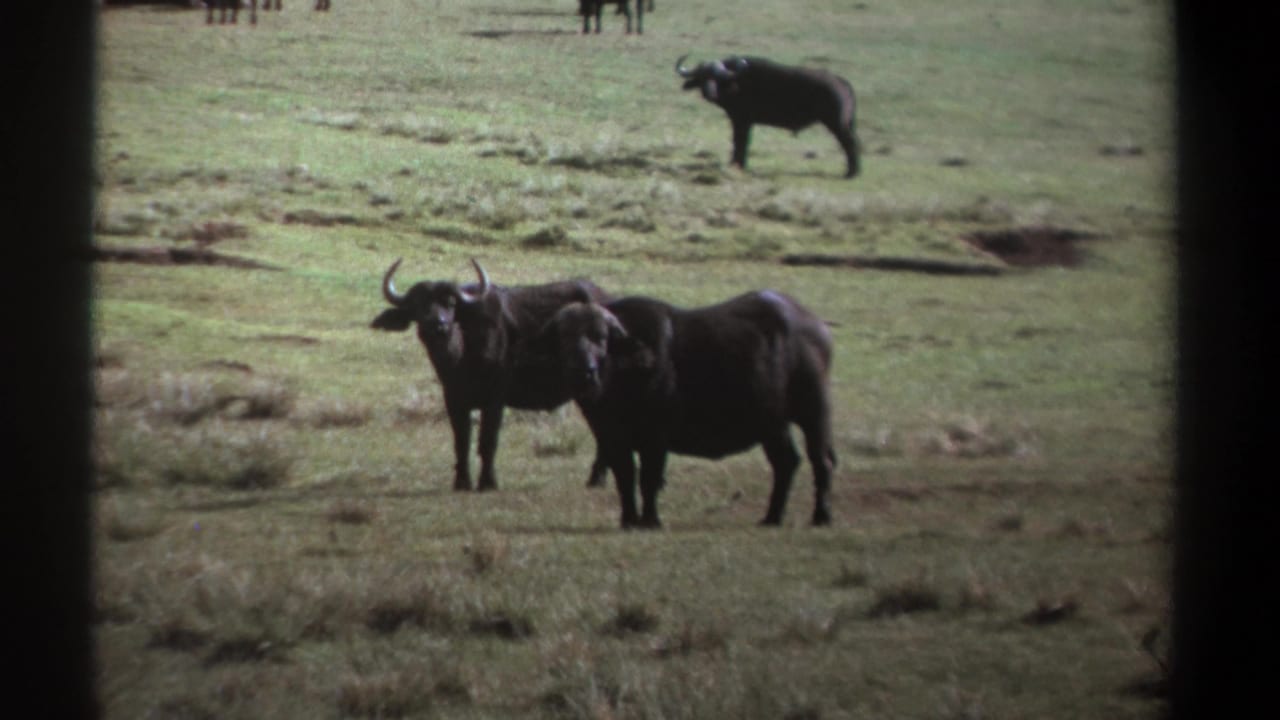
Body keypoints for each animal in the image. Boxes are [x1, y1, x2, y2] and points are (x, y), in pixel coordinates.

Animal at [372, 259, 611, 491]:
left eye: (450, 303)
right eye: (417, 305)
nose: (437, 324)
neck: (463, 354)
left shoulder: (495, 399)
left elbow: (488, 440)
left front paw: (488, 482)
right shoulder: (453, 398)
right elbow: (461, 440)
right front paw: (462, 482)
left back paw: (597, 479)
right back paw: (595, 479)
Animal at [539, 291, 837, 529]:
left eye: (601, 338)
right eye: (563, 339)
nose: (584, 371)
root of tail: (816, 326)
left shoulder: (655, 438)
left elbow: (649, 478)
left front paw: (650, 521)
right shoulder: (612, 438)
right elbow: (624, 477)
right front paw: (628, 519)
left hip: (814, 413)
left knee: (821, 460)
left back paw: (821, 516)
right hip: (773, 424)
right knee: (786, 461)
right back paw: (772, 517)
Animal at [675, 54, 861, 178]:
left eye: (717, 78)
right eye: (701, 77)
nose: (709, 93)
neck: (737, 82)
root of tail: (842, 82)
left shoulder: (742, 120)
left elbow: (740, 141)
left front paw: (738, 164)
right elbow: (739, 141)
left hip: (836, 123)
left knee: (850, 144)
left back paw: (851, 173)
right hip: (848, 123)